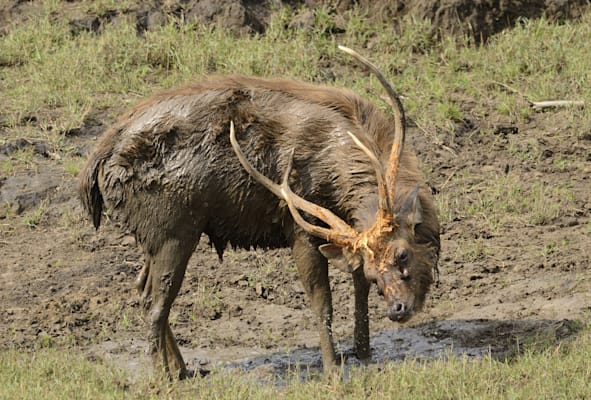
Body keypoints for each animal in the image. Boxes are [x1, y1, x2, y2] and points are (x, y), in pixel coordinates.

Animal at [78, 46, 440, 378]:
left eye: (400, 255)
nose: (398, 309)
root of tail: (97, 162)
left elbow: (356, 285)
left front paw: (362, 350)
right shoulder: (301, 228)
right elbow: (321, 301)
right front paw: (332, 367)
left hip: (152, 236)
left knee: (142, 289)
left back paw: (181, 367)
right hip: (174, 232)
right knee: (156, 305)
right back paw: (163, 376)